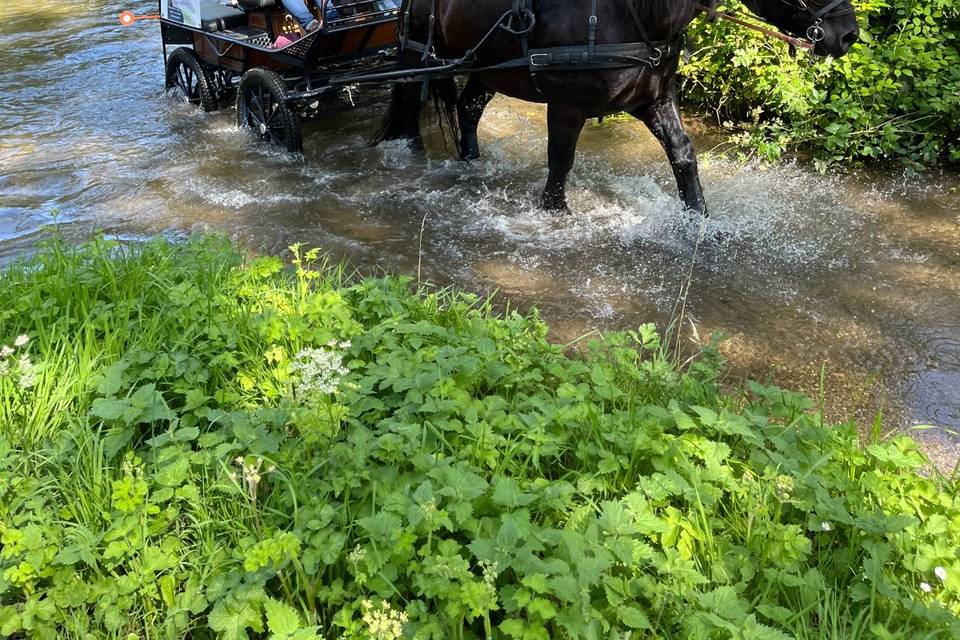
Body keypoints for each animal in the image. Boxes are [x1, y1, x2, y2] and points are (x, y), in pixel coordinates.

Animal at [374, 0, 856, 215]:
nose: (849, 33)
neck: (634, 13)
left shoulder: (656, 99)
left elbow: (683, 155)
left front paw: (697, 217)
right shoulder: (565, 106)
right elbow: (560, 161)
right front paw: (555, 213)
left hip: (487, 69)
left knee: (469, 109)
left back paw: (471, 161)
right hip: (421, 56)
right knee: (410, 109)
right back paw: (412, 154)